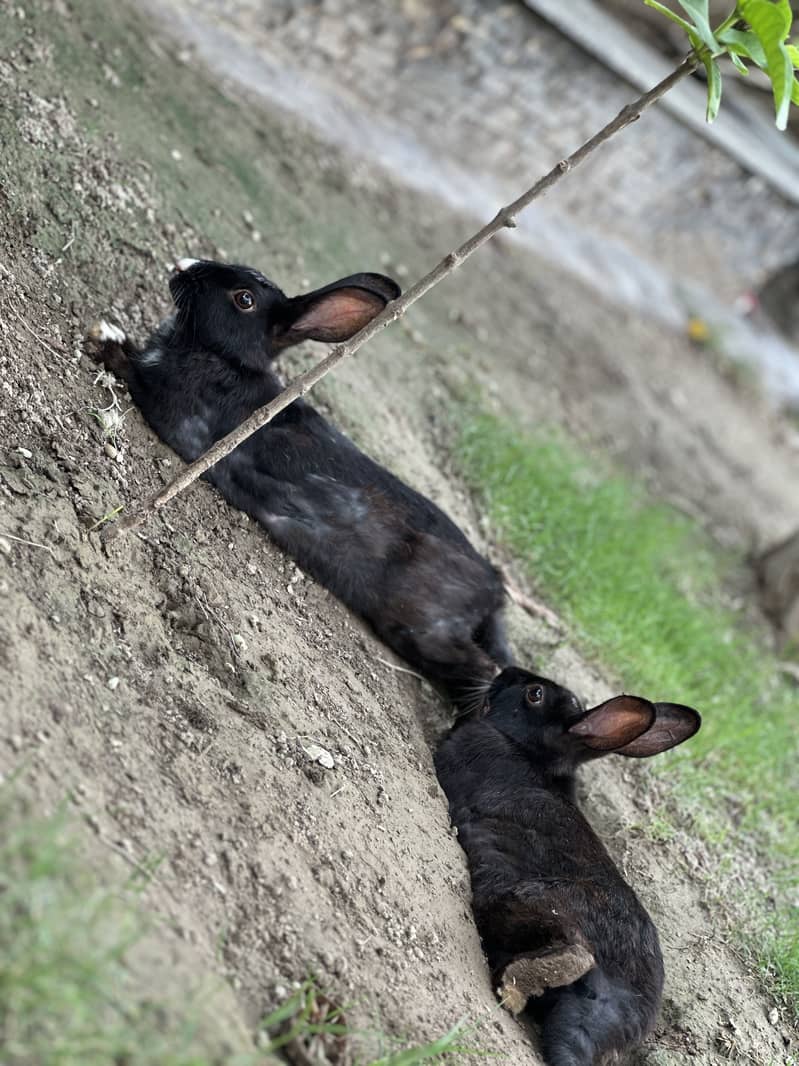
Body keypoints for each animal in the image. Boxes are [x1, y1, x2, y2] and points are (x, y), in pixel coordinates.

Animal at [87, 258, 512, 709]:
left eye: (244, 299)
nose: (184, 266)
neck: (225, 361)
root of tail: (494, 593)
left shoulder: (174, 413)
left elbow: (131, 371)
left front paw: (104, 337)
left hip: (420, 626)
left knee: (483, 670)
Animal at [434, 666, 701, 1066]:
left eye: (535, 694)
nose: (504, 672)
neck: (528, 752)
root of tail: (618, 1006)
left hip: (529, 899)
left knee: (572, 948)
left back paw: (516, 986)